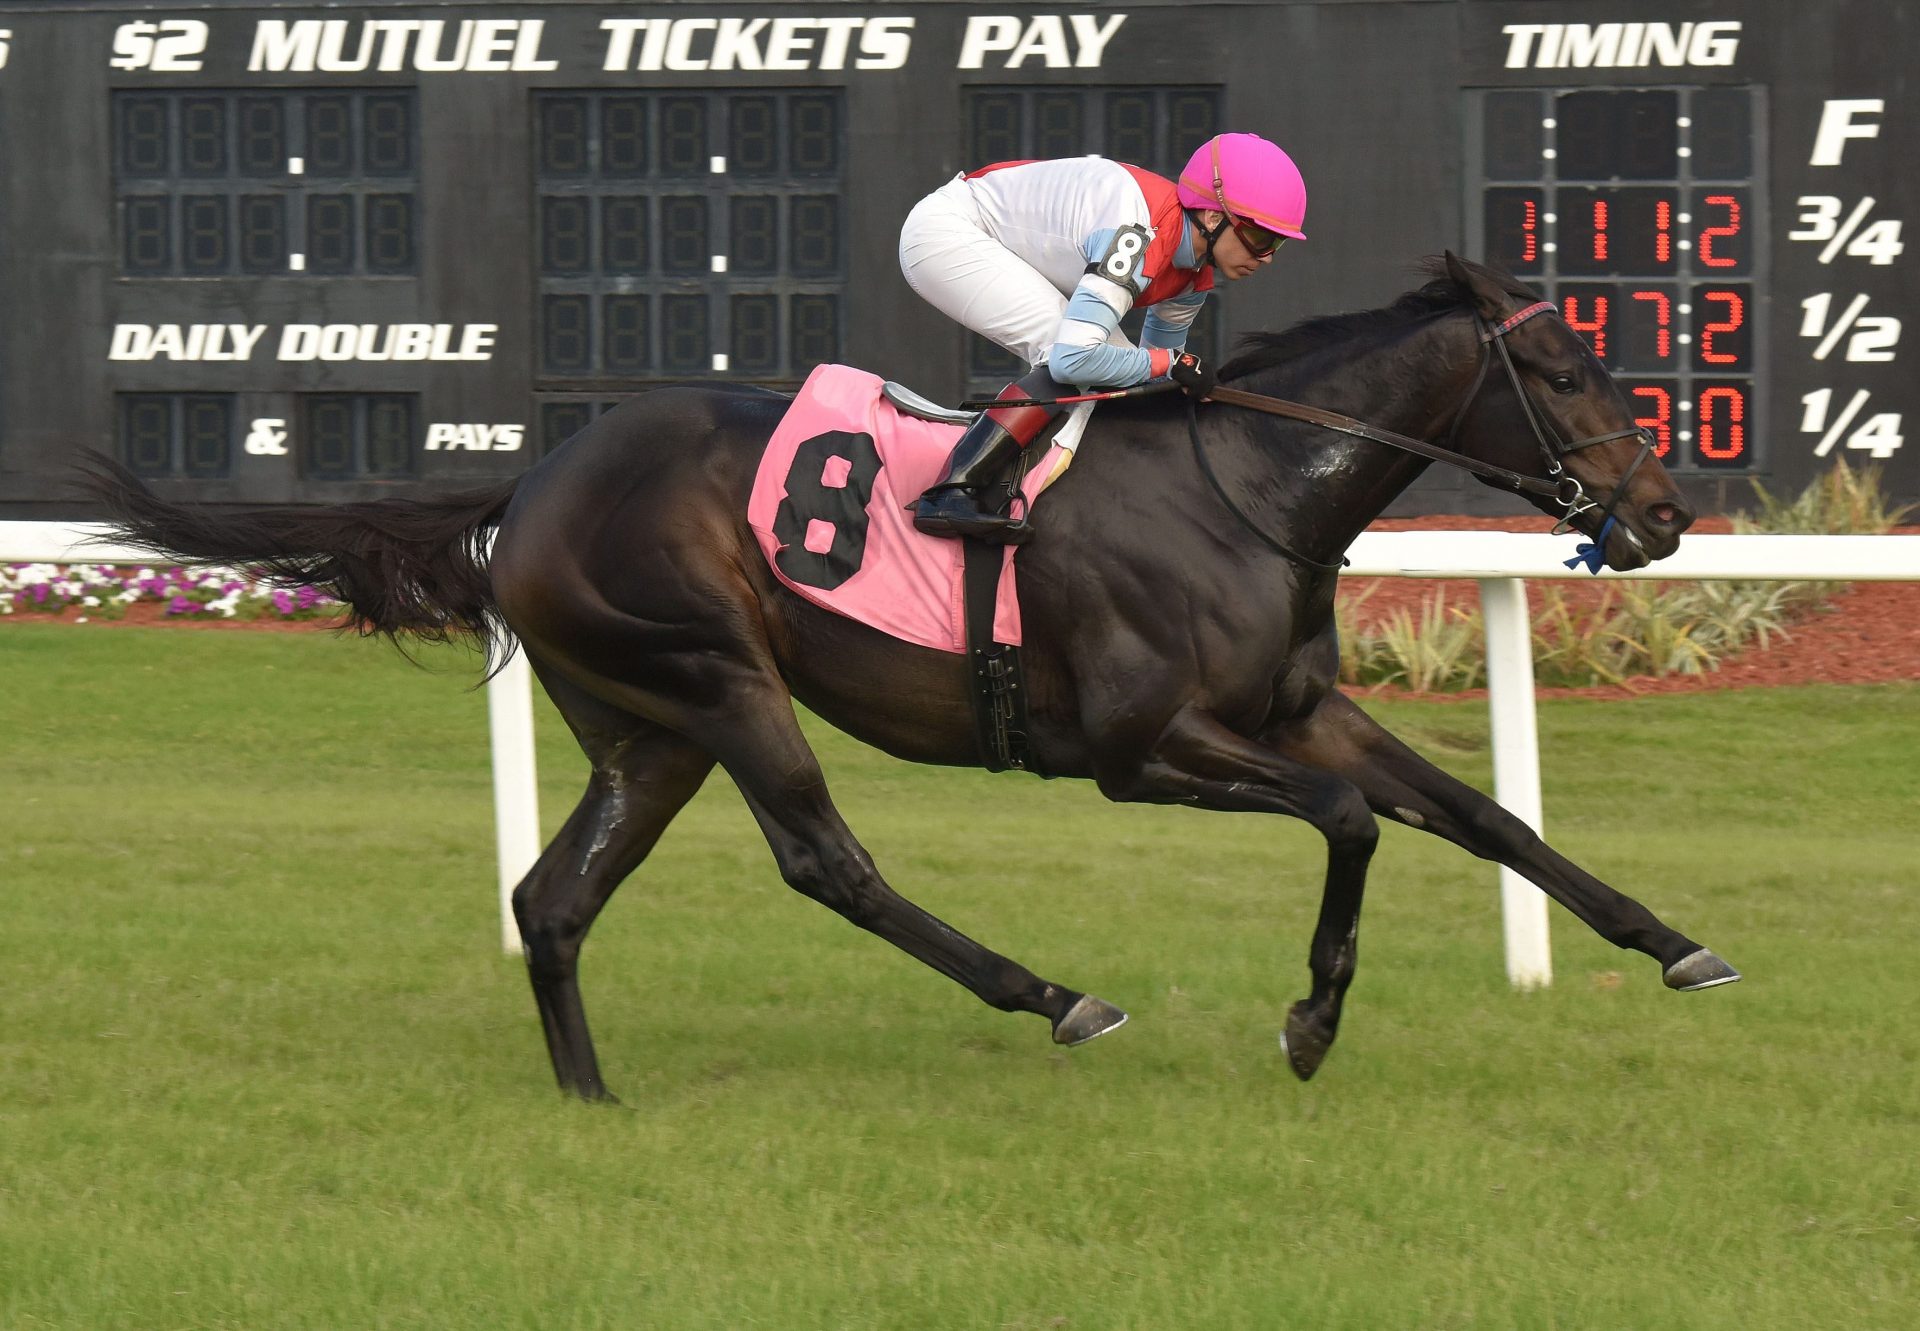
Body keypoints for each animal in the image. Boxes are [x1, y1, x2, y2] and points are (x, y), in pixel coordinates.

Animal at [82, 251, 1743, 1098]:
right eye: (1571, 371)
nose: (1665, 514)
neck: (1250, 484)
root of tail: (536, 477)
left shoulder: (1297, 709)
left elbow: (1485, 816)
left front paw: (1676, 944)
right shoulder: (1144, 747)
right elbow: (1349, 823)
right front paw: (1312, 1020)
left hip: (648, 727)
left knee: (554, 897)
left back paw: (591, 1097)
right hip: (719, 674)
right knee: (830, 860)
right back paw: (1054, 994)